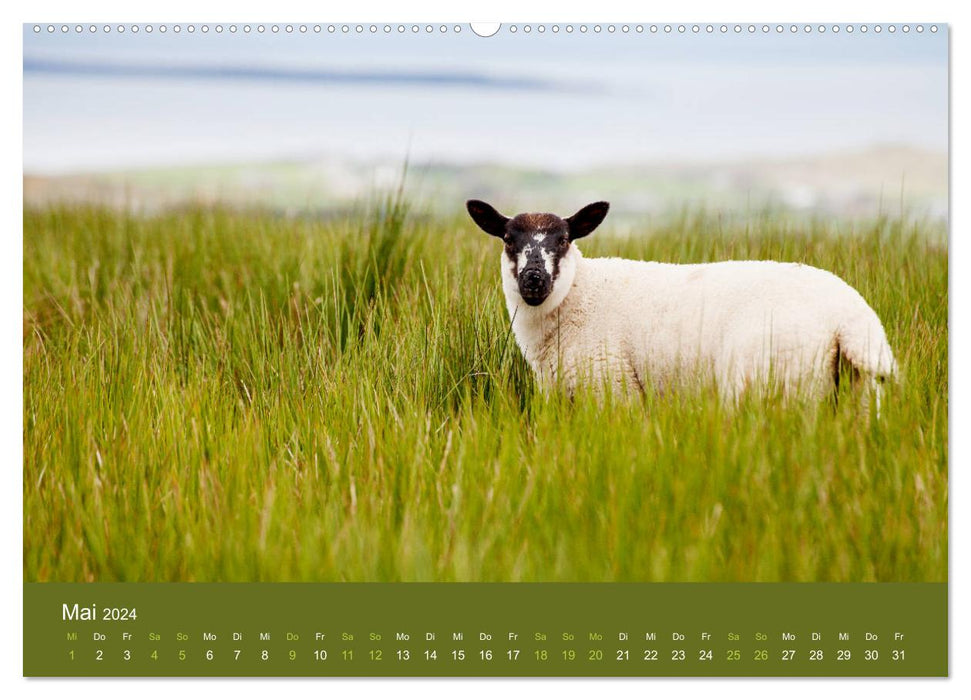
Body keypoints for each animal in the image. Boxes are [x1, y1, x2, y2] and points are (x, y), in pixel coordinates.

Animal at [468, 198, 900, 404]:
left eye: (563, 240)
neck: (579, 294)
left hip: (777, 384)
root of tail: (851, 317)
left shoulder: (613, 390)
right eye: (508, 240)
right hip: (856, 394)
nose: (534, 279)